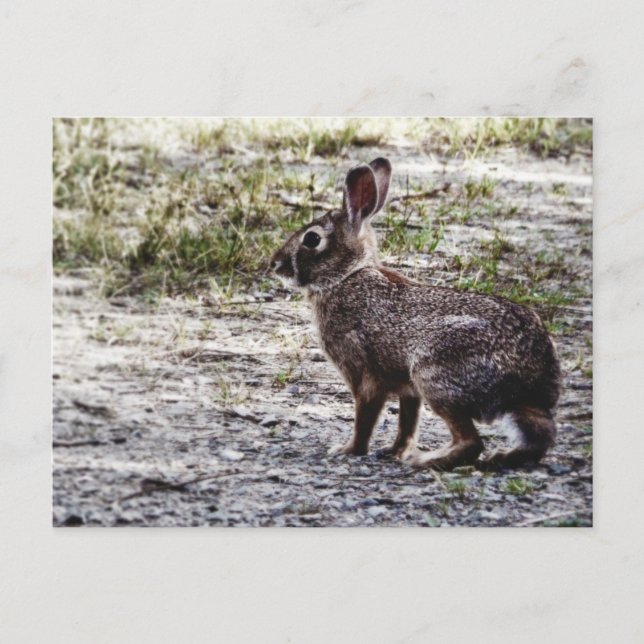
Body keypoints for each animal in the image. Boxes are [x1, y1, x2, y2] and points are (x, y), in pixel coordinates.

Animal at [270, 158, 560, 470]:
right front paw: (394, 450)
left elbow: (364, 418)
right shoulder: (408, 390)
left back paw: (425, 460)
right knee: (538, 435)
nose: (275, 263)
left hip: (433, 374)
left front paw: (348, 450)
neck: (345, 276)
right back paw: (500, 457)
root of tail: (533, 377)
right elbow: (407, 424)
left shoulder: (364, 375)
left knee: (471, 442)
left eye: (312, 239)